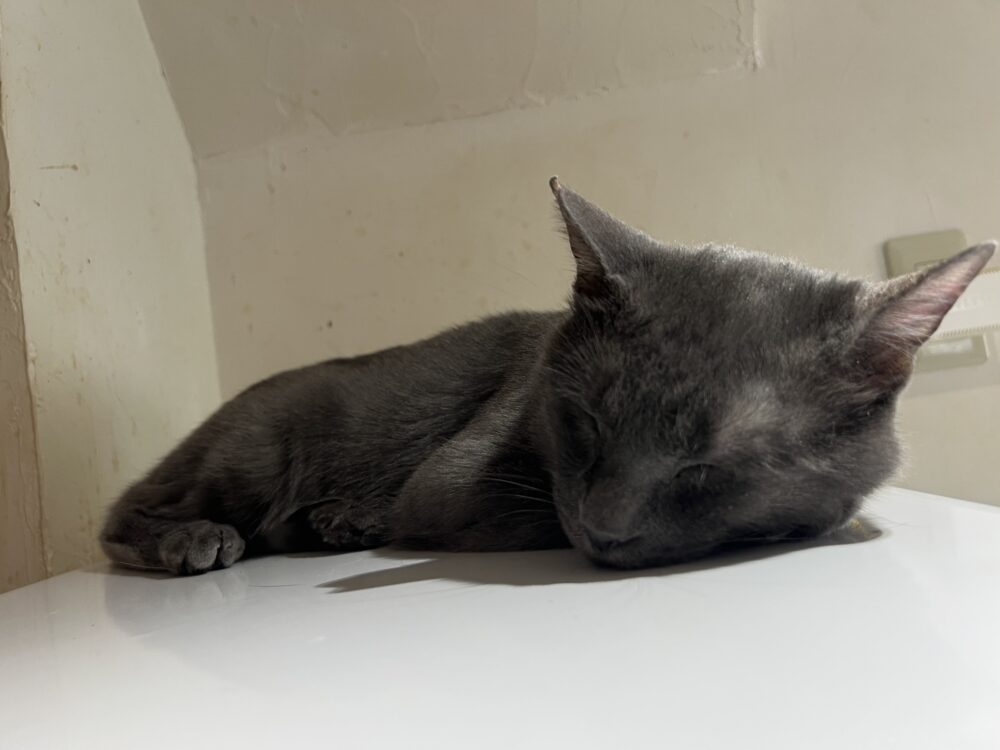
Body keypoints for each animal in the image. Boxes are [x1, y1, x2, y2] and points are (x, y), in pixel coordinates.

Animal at [100, 178, 995, 574]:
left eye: (711, 465)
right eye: (586, 421)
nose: (604, 525)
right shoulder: (456, 478)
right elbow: (525, 511)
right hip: (257, 445)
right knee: (124, 514)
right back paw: (198, 539)